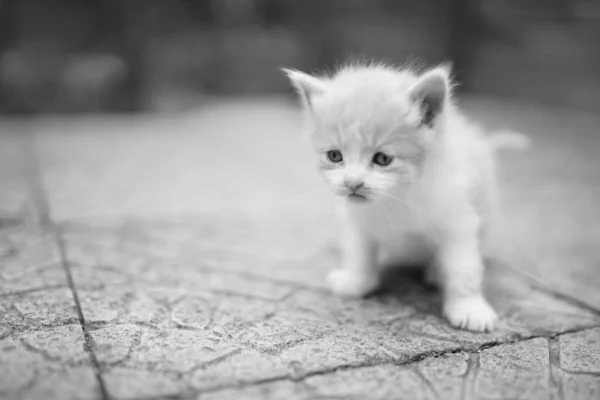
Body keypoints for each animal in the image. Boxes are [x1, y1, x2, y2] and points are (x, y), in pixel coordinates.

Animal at [284, 61, 528, 332]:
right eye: (334, 156)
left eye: (382, 158)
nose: (352, 183)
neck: (395, 198)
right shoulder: (357, 221)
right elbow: (360, 254)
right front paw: (356, 282)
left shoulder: (458, 221)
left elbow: (463, 267)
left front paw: (469, 307)